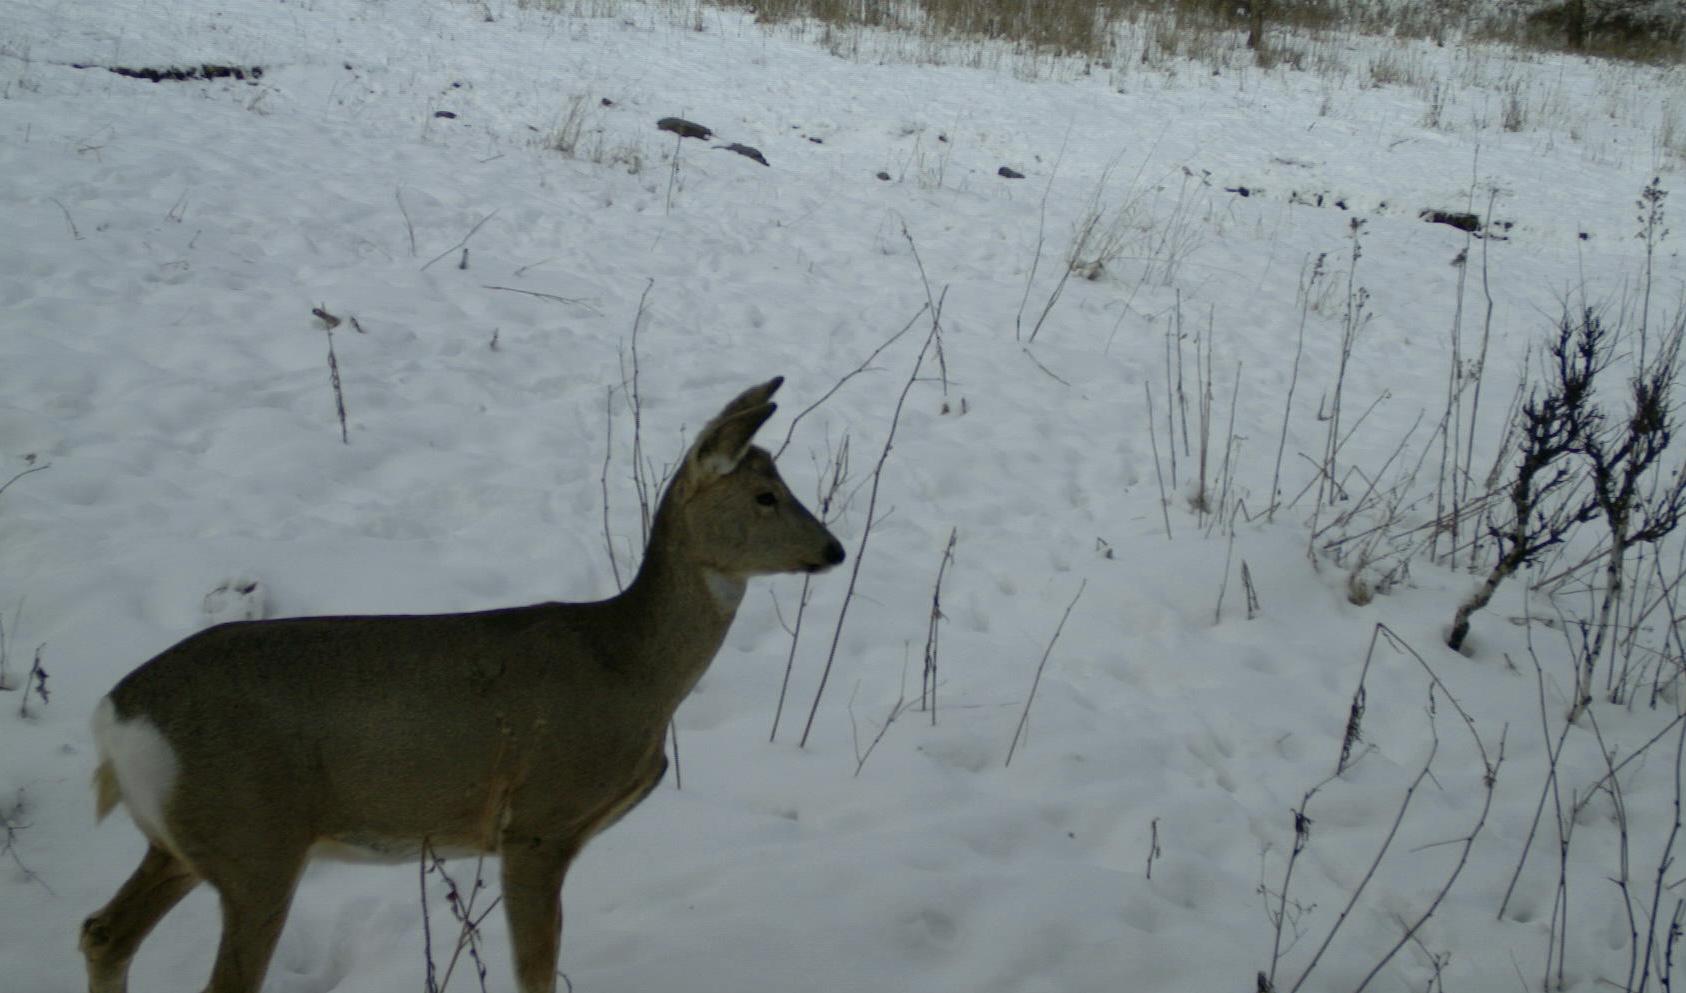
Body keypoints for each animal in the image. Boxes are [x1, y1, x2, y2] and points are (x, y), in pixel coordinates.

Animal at [79, 377, 843, 991]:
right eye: (766, 496)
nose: (834, 548)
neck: (629, 667)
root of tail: (114, 716)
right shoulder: (536, 821)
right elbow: (534, 971)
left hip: (187, 842)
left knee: (101, 932)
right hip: (254, 842)